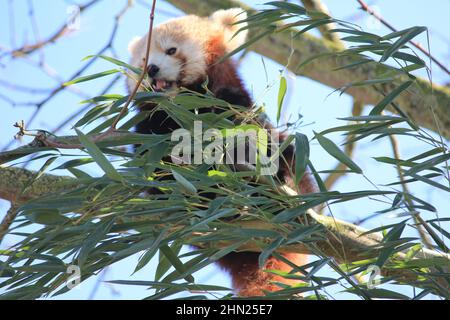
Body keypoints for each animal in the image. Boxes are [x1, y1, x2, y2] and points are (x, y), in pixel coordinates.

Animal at [128, 7, 314, 298]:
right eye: (144, 59)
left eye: (171, 50)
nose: (151, 69)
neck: (183, 106)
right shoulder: (149, 129)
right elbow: (156, 164)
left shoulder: (234, 105)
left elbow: (247, 132)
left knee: (289, 158)